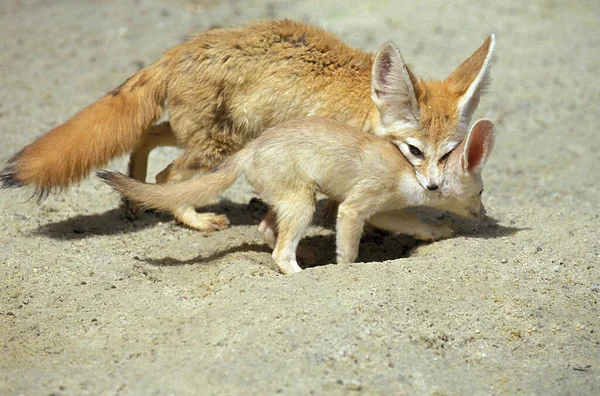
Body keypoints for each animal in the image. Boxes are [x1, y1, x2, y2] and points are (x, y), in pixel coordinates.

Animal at [0, 20, 494, 232]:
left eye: (448, 153)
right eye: (414, 151)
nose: (433, 187)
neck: (360, 102)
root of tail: (178, 51)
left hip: (204, 134)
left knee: (144, 138)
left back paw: (133, 197)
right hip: (215, 146)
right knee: (168, 175)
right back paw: (193, 219)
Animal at [97, 116, 492, 274]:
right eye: (482, 190)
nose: (485, 215)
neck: (410, 172)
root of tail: (250, 149)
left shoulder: (383, 210)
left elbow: (417, 225)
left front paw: (441, 232)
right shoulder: (354, 208)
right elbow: (349, 251)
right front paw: (344, 269)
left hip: (290, 199)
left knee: (266, 231)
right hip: (303, 201)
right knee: (279, 253)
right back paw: (302, 273)